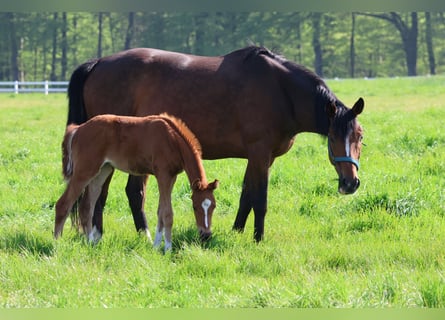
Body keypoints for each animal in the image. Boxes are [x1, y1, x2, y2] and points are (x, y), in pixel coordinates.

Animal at [53, 114, 219, 251]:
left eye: (213, 206)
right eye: (195, 206)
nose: (206, 235)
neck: (172, 139)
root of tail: (78, 129)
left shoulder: (172, 177)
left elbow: (160, 211)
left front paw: (156, 247)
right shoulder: (163, 174)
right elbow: (167, 213)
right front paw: (168, 248)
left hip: (102, 171)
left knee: (86, 207)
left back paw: (89, 242)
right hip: (84, 171)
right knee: (63, 204)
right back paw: (56, 244)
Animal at [67, 45, 364, 242]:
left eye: (360, 136)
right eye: (333, 137)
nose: (350, 183)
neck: (281, 91)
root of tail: (99, 62)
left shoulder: (260, 157)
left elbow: (246, 196)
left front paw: (237, 232)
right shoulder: (260, 152)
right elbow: (260, 199)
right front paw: (258, 239)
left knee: (125, 192)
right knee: (105, 193)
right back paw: (106, 236)